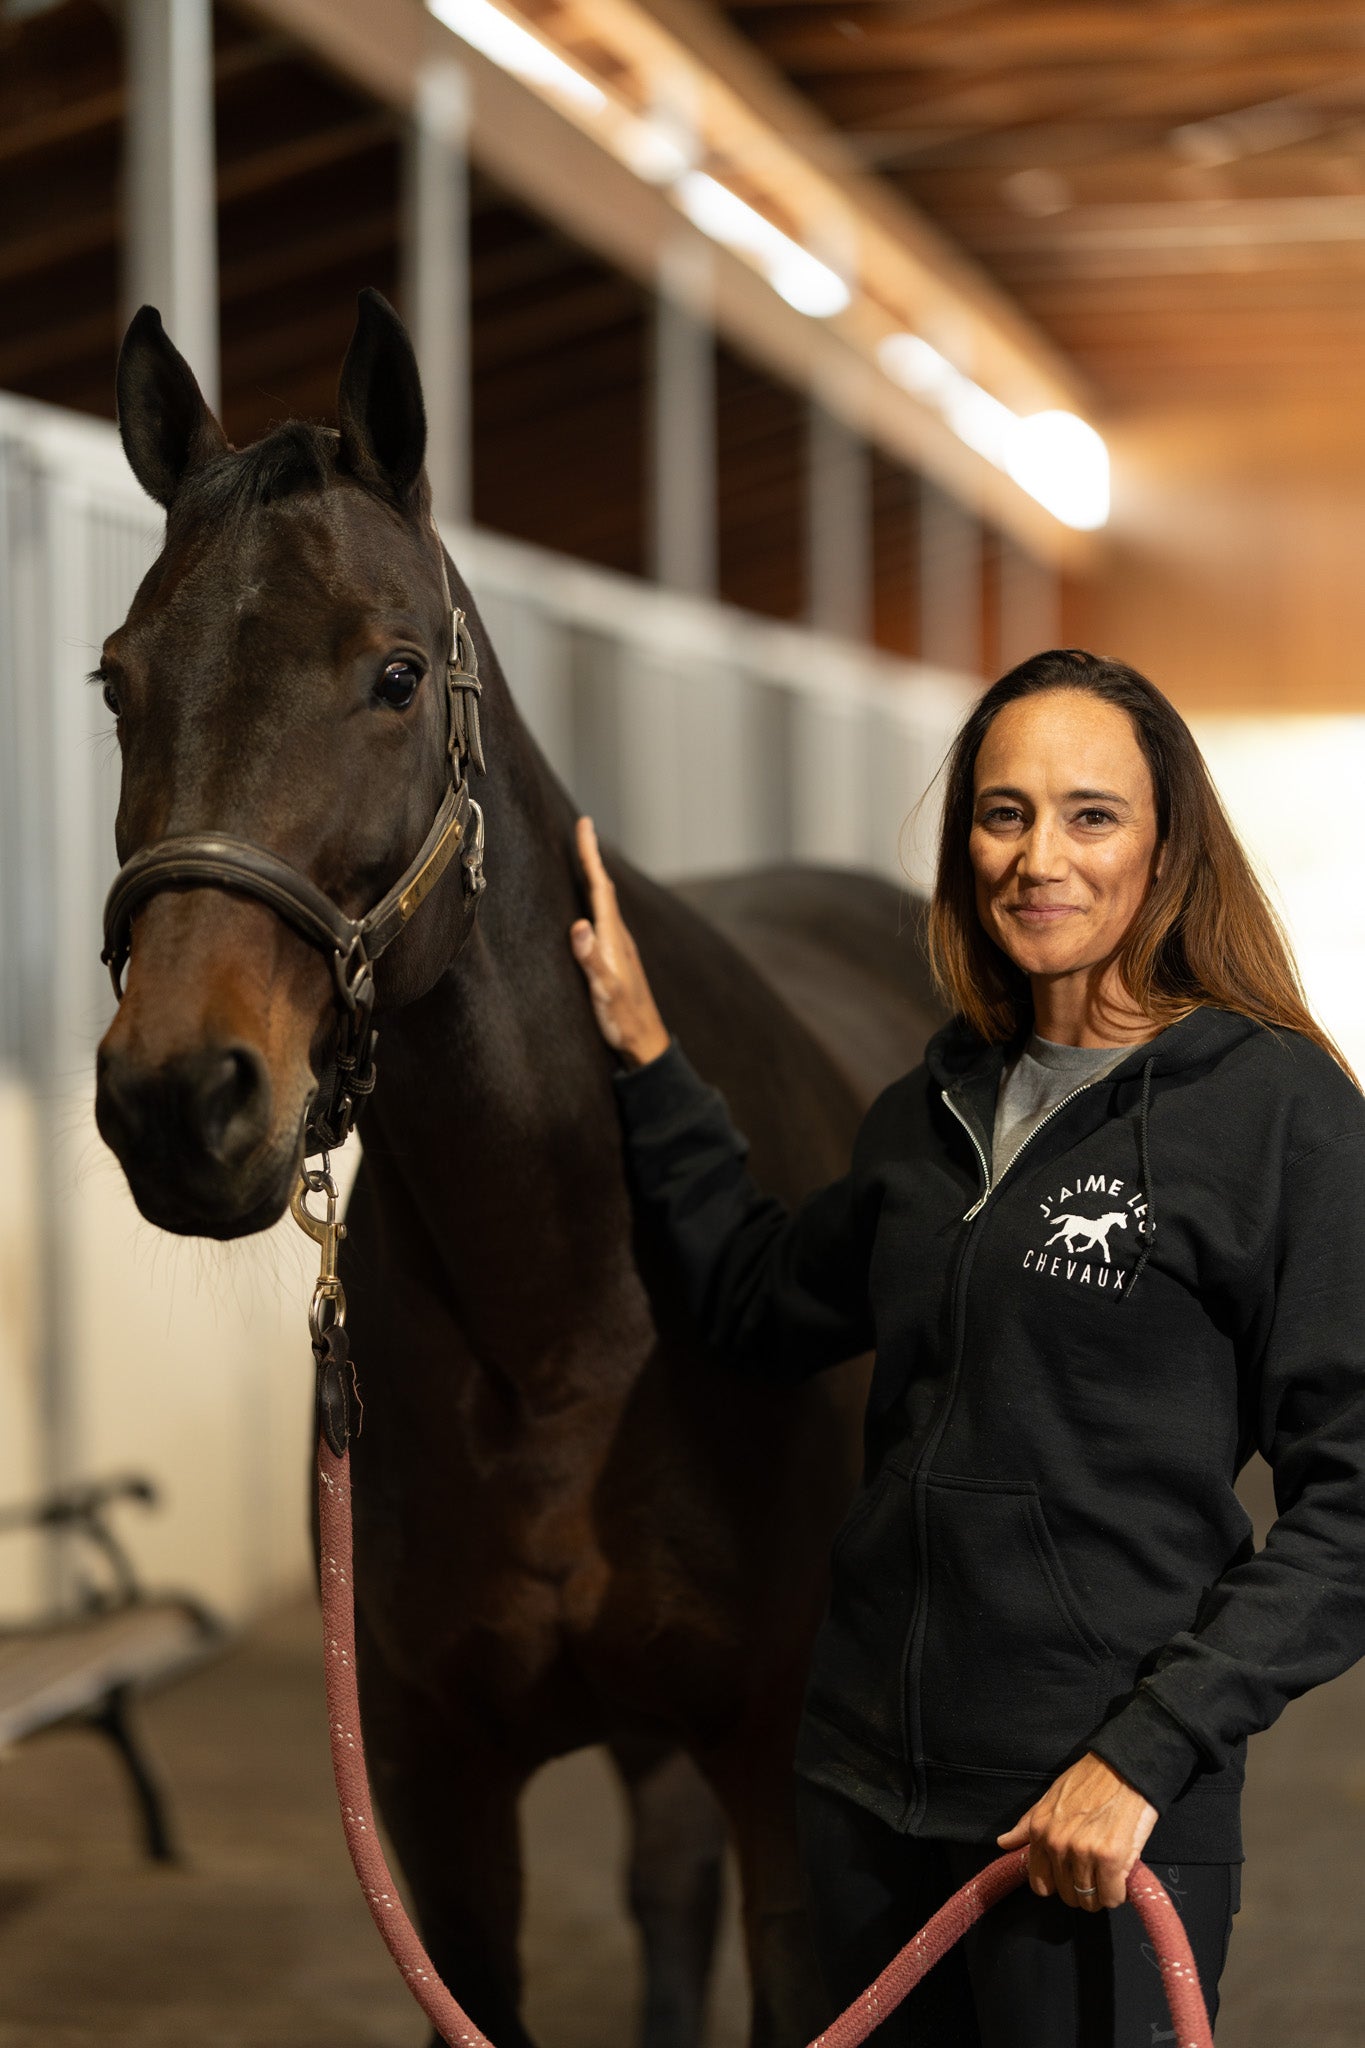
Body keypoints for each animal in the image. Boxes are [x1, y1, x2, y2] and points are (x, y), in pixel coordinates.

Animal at [92, 288, 945, 2048]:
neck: (570, 1305)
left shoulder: (782, 1781)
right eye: (118, 684)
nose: (176, 1099)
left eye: (396, 673)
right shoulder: (435, 1800)